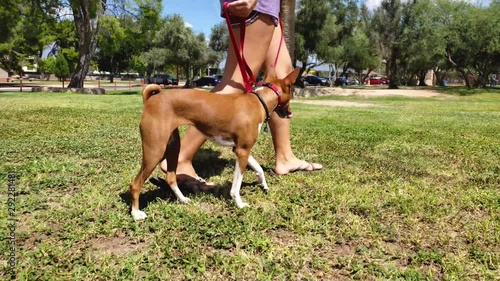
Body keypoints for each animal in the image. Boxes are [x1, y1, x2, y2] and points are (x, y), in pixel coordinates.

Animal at [130, 66, 300, 219]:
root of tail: (151, 99)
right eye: (292, 92)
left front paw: (264, 185)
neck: (259, 101)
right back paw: (136, 213)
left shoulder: (241, 149)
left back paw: (183, 199)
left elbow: (259, 168)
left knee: (171, 178)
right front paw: (239, 204)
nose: (291, 113)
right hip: (155, 151)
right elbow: (236, 185)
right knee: (135, 184)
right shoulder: (242, 151)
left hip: (173, 148)